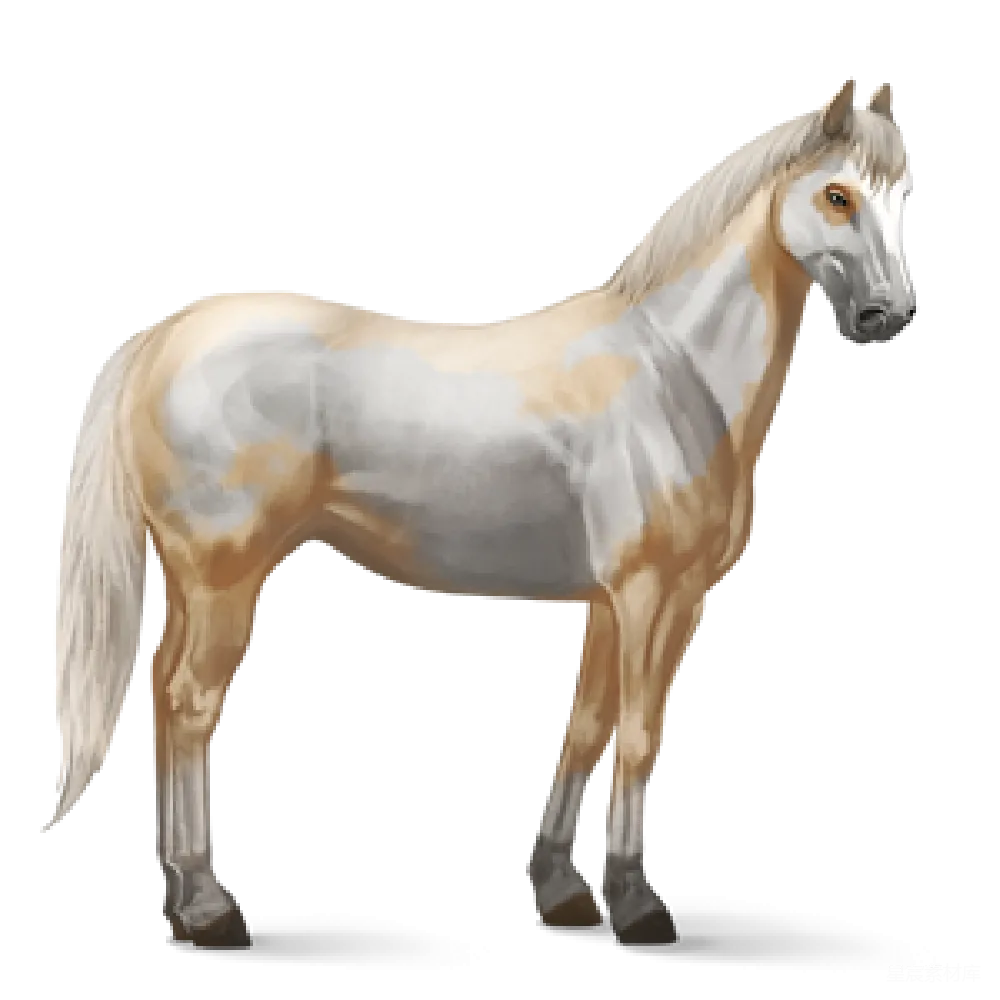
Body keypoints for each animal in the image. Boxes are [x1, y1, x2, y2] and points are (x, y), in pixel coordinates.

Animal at [47, 75, 917, 951]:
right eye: (837, 195)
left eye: (905, 195)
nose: (890, 315)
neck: (676, 370)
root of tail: (169, 333)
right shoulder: (652, 596)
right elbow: (639, 736)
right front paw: (639, 905)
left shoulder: (613, 602)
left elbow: (586, 726)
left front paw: (563, 894)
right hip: (227, 576)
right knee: (193, 705)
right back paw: (208, 908)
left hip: (191, 581)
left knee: (164, 697)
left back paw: (180, 898)